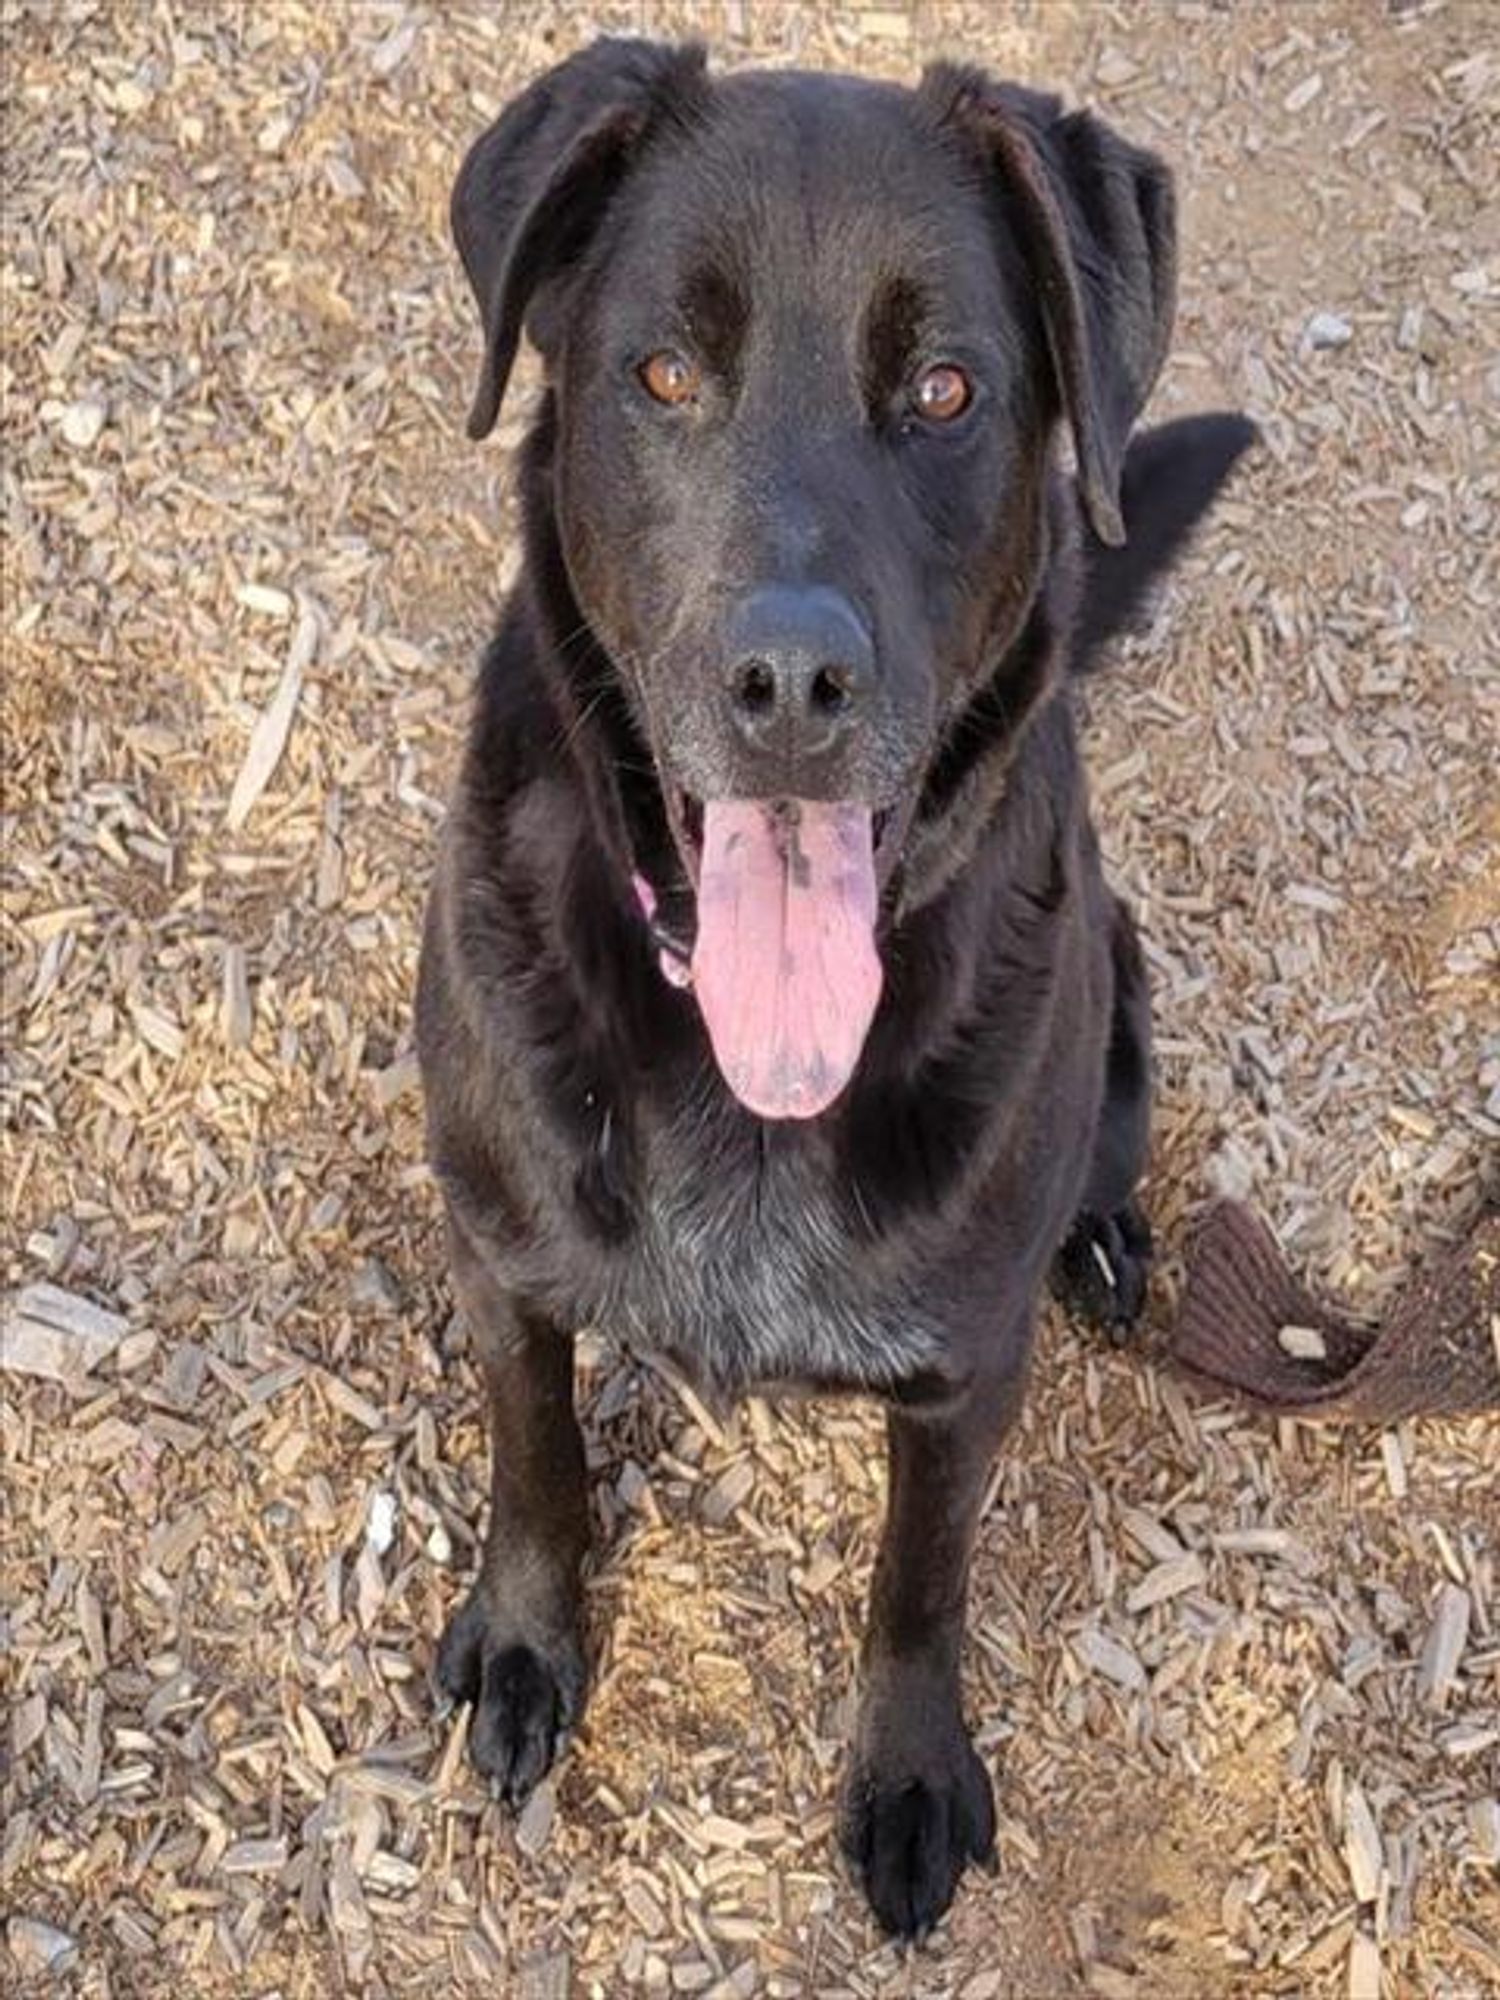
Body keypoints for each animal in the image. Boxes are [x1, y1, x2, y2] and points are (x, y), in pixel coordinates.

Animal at [414, 43, 1256, 1936]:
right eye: (662, 372)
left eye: (944, 389)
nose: (792, 683)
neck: (746, 1089)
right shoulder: (501, 1262)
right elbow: (534, 1461)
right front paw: (526, 1640)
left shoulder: (961, 1372)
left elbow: (921, 1581)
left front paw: (911, 1769)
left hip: (1124, 1000)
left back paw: (1108, 1237)